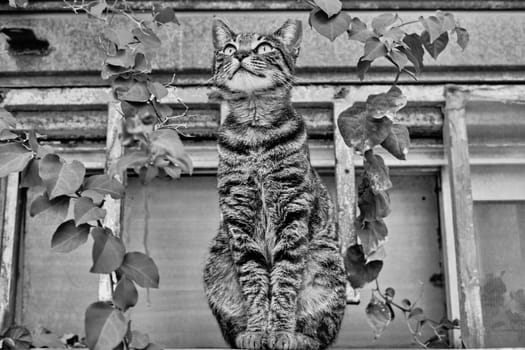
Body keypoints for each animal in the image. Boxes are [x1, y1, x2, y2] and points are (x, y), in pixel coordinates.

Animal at [203, 18, 346, 350]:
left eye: (265, 47)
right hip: (216, 263)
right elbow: (254, 282)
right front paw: (258, 331)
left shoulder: (292, 212)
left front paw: (280, 331)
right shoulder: (239, 215)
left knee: (322, 333)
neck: (255, 132)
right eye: (229, 48)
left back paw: (299, 337)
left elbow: (284, 281)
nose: (241, 54)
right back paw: (245, 333)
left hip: (326, 263)